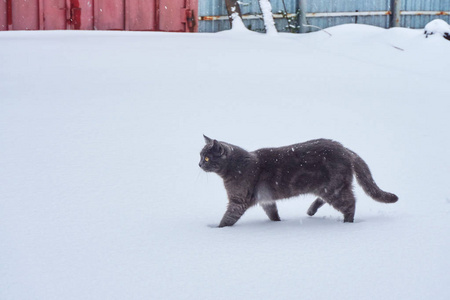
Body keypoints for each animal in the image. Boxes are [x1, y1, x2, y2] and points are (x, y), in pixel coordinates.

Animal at [198, 136, 398, 227]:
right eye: (200, 155)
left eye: (207, 158)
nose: (199, 164)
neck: (235, 167)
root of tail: (345, 149)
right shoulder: (266, 200)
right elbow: (273, 213)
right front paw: (278, 223)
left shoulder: (238, 201)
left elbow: (228, 218)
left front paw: (218, 229)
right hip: (328, 187)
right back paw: (310, 211)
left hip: (334, 189)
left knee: (350, 203)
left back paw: (347, 223)